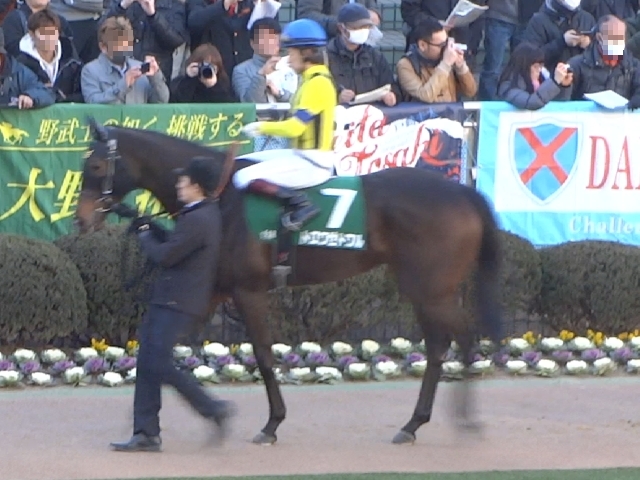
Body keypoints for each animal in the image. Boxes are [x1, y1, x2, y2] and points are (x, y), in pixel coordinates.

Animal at [74, 118, 502, 446]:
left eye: (95, 167)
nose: (81, 219)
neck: (220, 195)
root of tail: (464, 193)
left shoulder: (248, 291)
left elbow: (263, 355)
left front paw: (271, 424)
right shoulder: (214, 291)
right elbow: (164, 352)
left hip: (431, 289)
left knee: (462, 339)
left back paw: (463, 421)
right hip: (423, 288)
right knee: (440, 346)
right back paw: (415, 424)